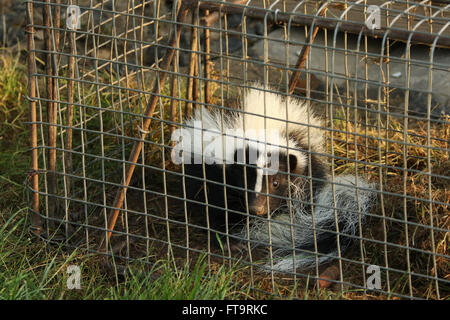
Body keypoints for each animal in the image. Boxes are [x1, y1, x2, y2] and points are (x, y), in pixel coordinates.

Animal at [172, 84, 376, 272]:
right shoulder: (214, 171)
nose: (257, 209)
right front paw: (230, 241)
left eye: (276, 183)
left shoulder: (307, 167)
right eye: (246, 180)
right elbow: (216, 206)